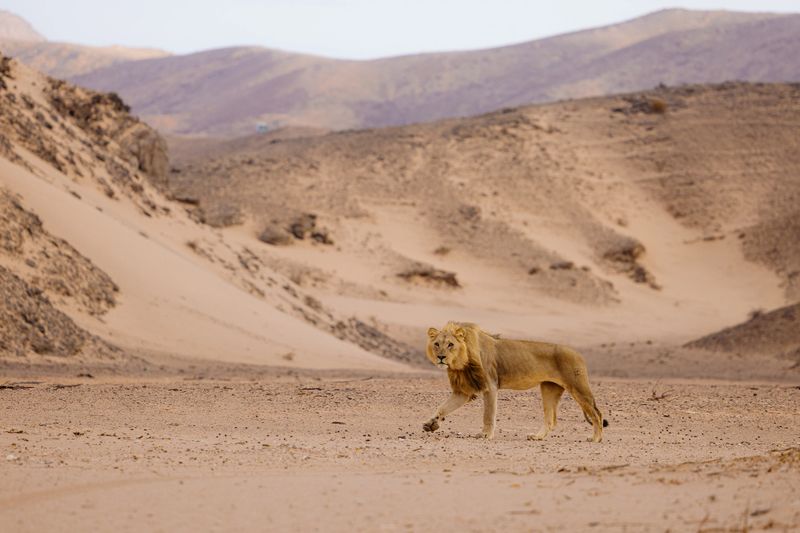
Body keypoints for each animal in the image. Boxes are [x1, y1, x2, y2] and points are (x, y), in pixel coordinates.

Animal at [423, 322, 608, 442]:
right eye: (437, 344)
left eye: (450, 344)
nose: (441, 357)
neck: (460, 362)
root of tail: (578, 353)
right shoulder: (463, 391)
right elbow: (443, 407)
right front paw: (431, 424)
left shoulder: (490, 386)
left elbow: (488, 414)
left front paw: (485, 435)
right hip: (549, 388)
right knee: (551, 419)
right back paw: (537, 437)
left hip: (578, 387)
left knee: (596, 413)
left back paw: (595, 438)